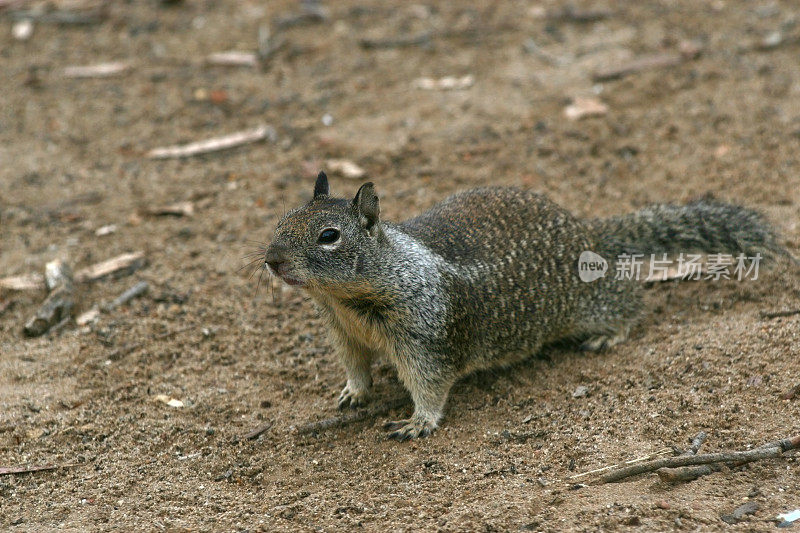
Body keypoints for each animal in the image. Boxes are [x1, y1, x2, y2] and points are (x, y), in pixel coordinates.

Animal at [266, 171, 792, 440]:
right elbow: (356, 366)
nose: (271, 260)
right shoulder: (343, 331)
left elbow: (429, 383)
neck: (349, 299)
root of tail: (586, 230)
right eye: (282, 220)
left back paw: (608, 335)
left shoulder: (426, 335)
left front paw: (418, 422)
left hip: (590, 300)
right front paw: (353, 393)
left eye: (329, 236)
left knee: (628, 301)